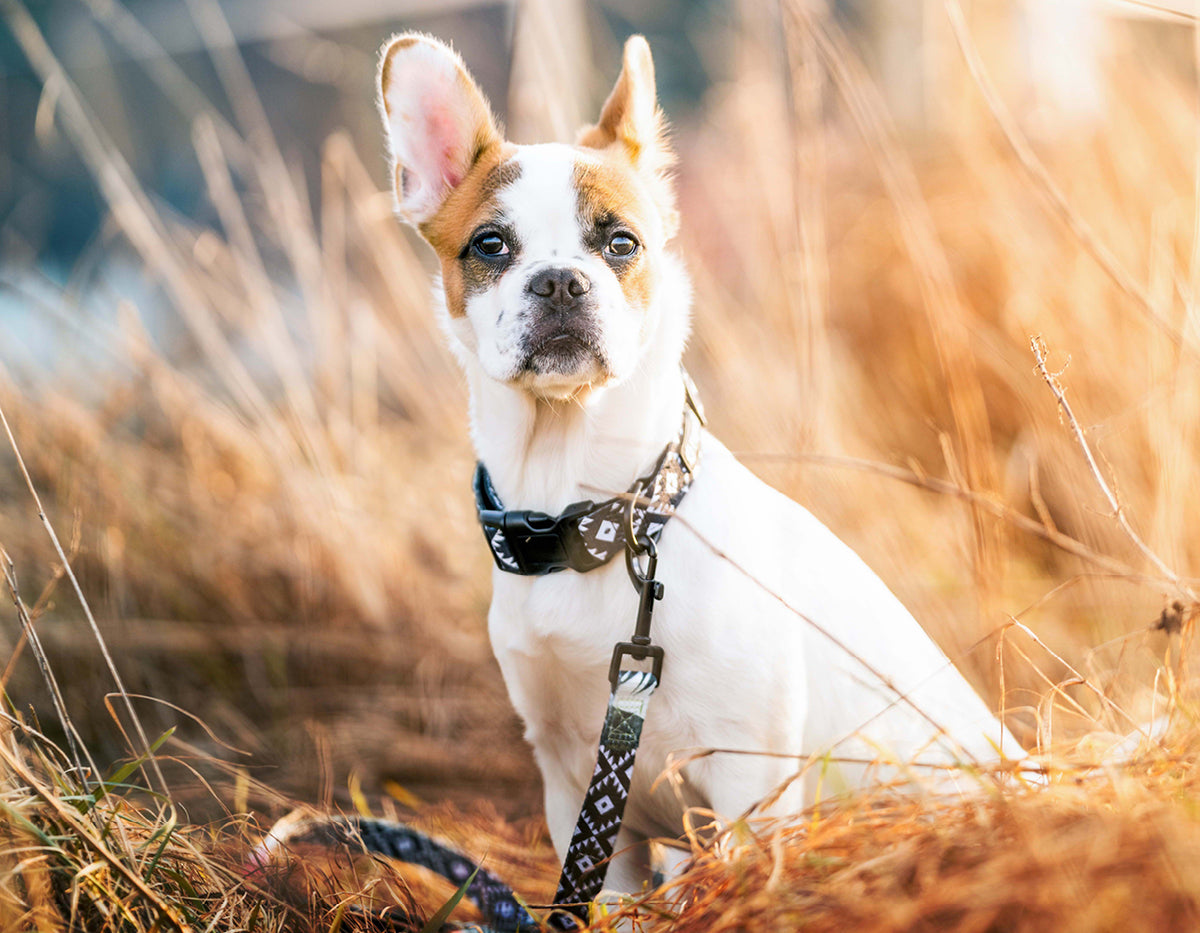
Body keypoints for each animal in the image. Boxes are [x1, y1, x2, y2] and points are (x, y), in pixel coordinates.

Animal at [376, 27, 1022, 887]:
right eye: (490, 245)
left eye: (622, 243)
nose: (560, 281)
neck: (597, 513)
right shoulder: (574, 788)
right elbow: (599, 893)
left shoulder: (748, 779)